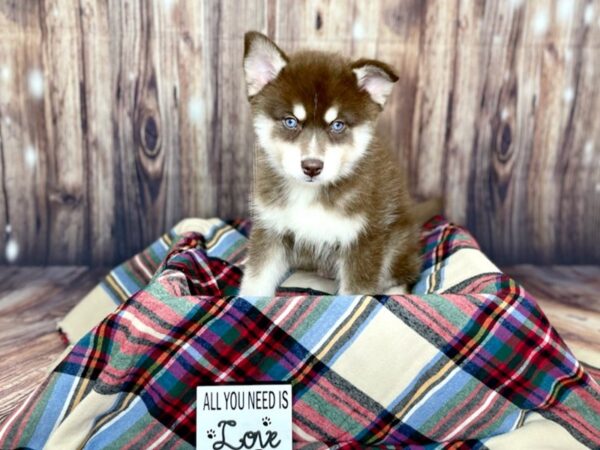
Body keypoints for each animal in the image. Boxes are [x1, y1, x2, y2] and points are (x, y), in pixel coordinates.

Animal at [239, 32, 422, 298]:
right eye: (291, 121)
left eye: (337, 125)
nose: (312, 166)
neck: (311, 195)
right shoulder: (271, 227)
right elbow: (256, 280)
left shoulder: (363, 239)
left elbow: (356, 293)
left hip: (397, 242)